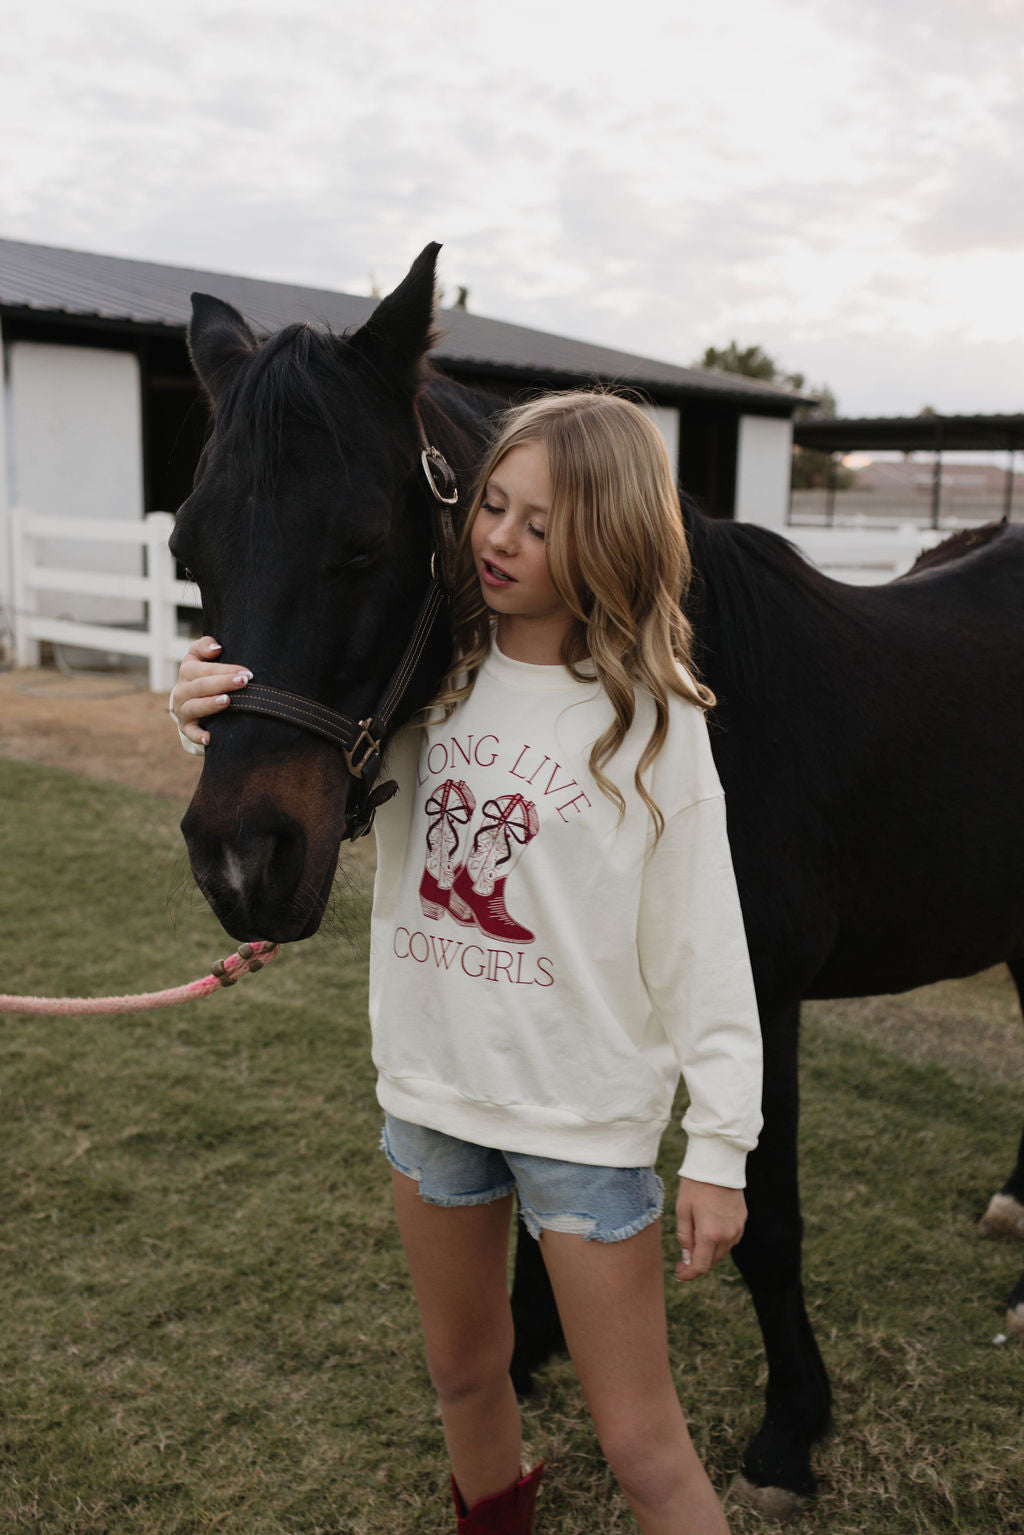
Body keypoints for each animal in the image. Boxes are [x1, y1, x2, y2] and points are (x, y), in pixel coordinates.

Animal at [171, 245, 1024, 1516]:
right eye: (188, 553)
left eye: (364, 541)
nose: (241, 857)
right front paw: (530, 1340)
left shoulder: (757, 1000)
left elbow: (763, 1218)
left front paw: (789, 1430)